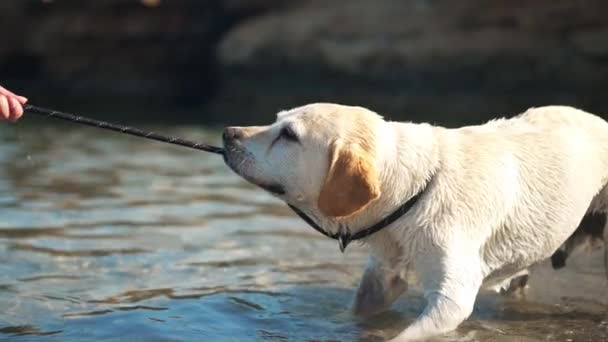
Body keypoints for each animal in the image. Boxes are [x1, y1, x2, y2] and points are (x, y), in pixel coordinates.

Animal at [221, 104, 608, 342]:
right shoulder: (381, 276)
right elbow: (358, 310)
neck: (416, 186)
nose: (228, 133)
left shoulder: (451, 298)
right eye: (276, 120)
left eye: (289, 134)